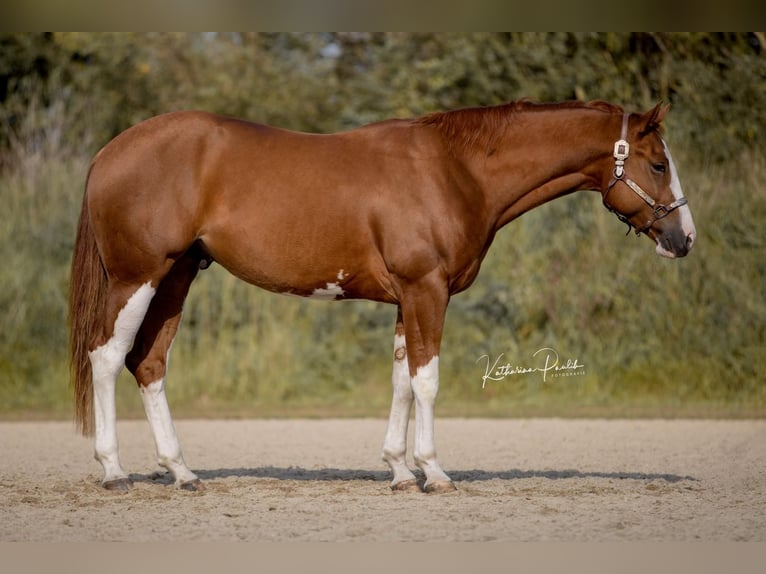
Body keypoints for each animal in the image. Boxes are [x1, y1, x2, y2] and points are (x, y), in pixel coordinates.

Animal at [69, 99, 696, 493]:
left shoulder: (407, 299)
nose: (684, 238)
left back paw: (181, 472)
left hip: (177, 276)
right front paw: (434, 473)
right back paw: (113, 471)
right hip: (136, 277)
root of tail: (108, 152)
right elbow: (427, 381)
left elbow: (400, 379)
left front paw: (397, 471)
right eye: (657, 163)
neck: (456, 170)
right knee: (107, 356)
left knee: (149, 363)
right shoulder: (427, 290)